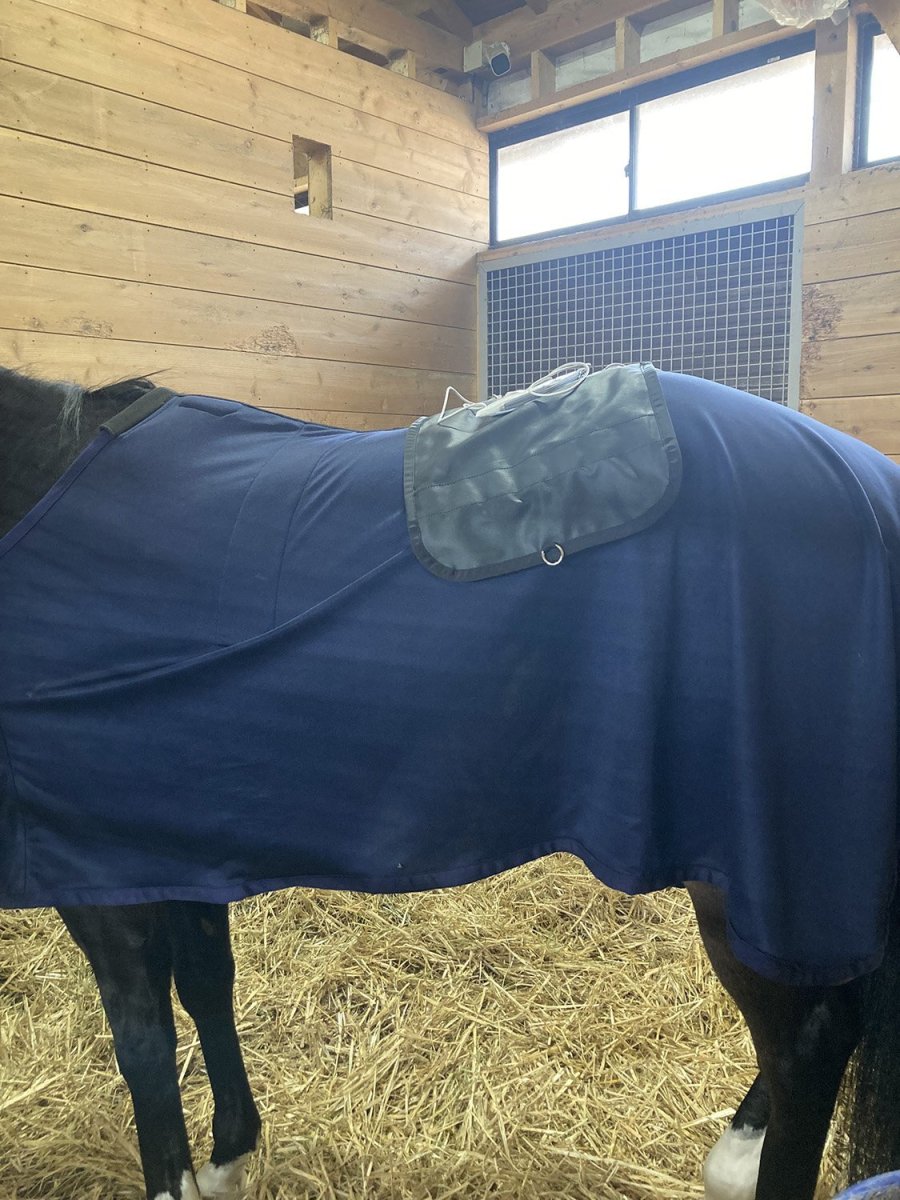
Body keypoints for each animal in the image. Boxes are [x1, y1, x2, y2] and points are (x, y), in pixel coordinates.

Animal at [1, 362, 898, 1200]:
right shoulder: (170, 842)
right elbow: (206, 985)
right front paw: (230, 1158)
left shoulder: (99, 868)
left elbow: (143, 1042)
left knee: (811, 1042)